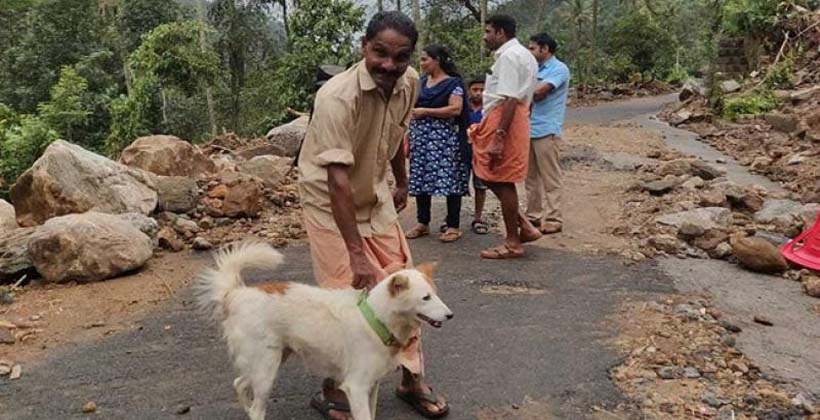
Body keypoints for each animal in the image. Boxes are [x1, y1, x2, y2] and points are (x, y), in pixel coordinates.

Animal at [197, 243, 454, 420]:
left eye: (435, 294)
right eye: (425, 298)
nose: (451, 315)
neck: (376, 319)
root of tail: (235, 293)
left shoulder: (372, 386)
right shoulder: (356, 388)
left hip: (270, 360)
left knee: (239, 383)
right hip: (266, 370)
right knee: (256, 408)